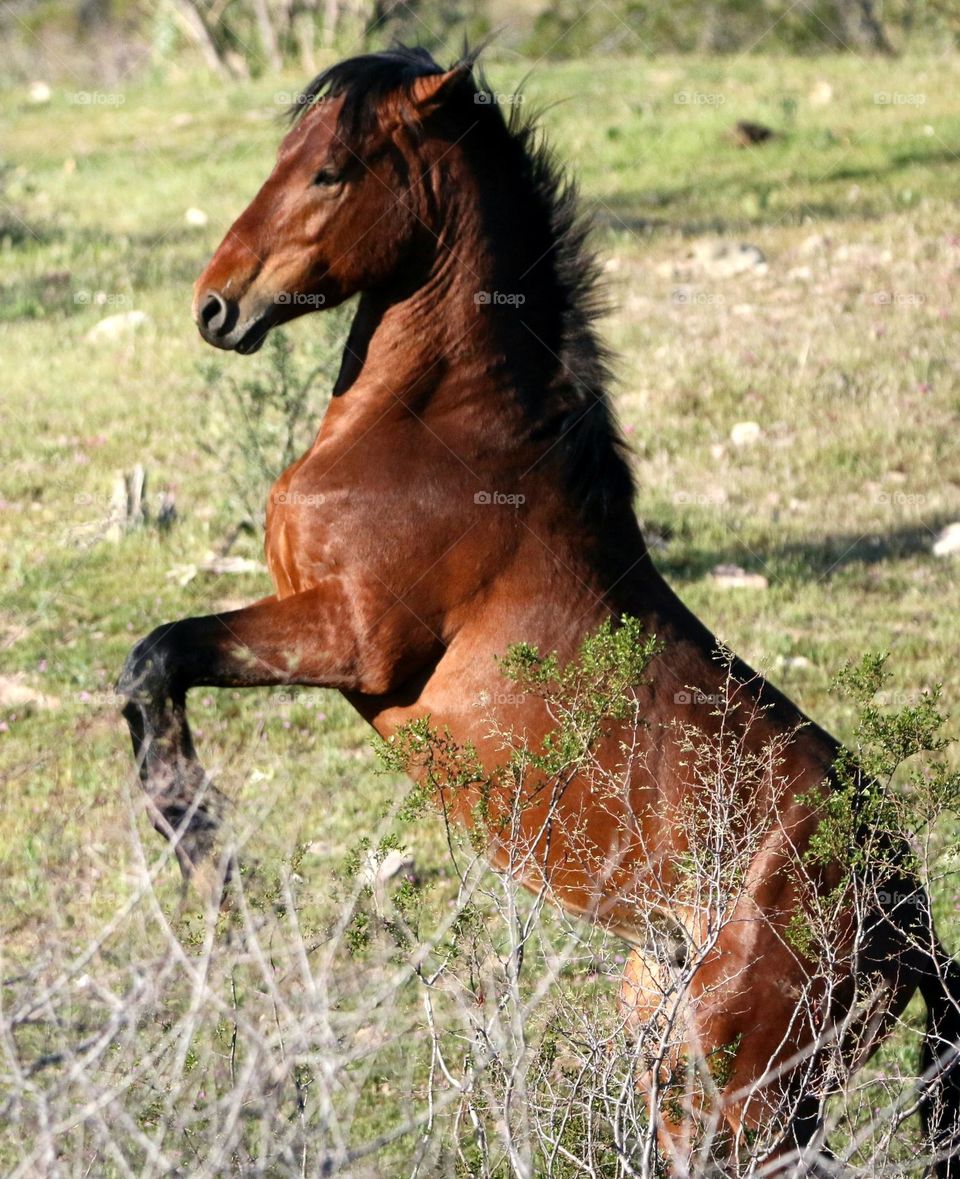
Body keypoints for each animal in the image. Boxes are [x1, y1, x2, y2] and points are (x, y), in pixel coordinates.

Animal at [117, 45, 960, 1174]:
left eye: (330, 170)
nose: (216, 307)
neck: (440, 433)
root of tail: (907, 913)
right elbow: (149, 670)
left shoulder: (350, 637)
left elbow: (159, 658)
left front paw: (205, 859)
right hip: (680, 1037)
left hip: (736, 1087)